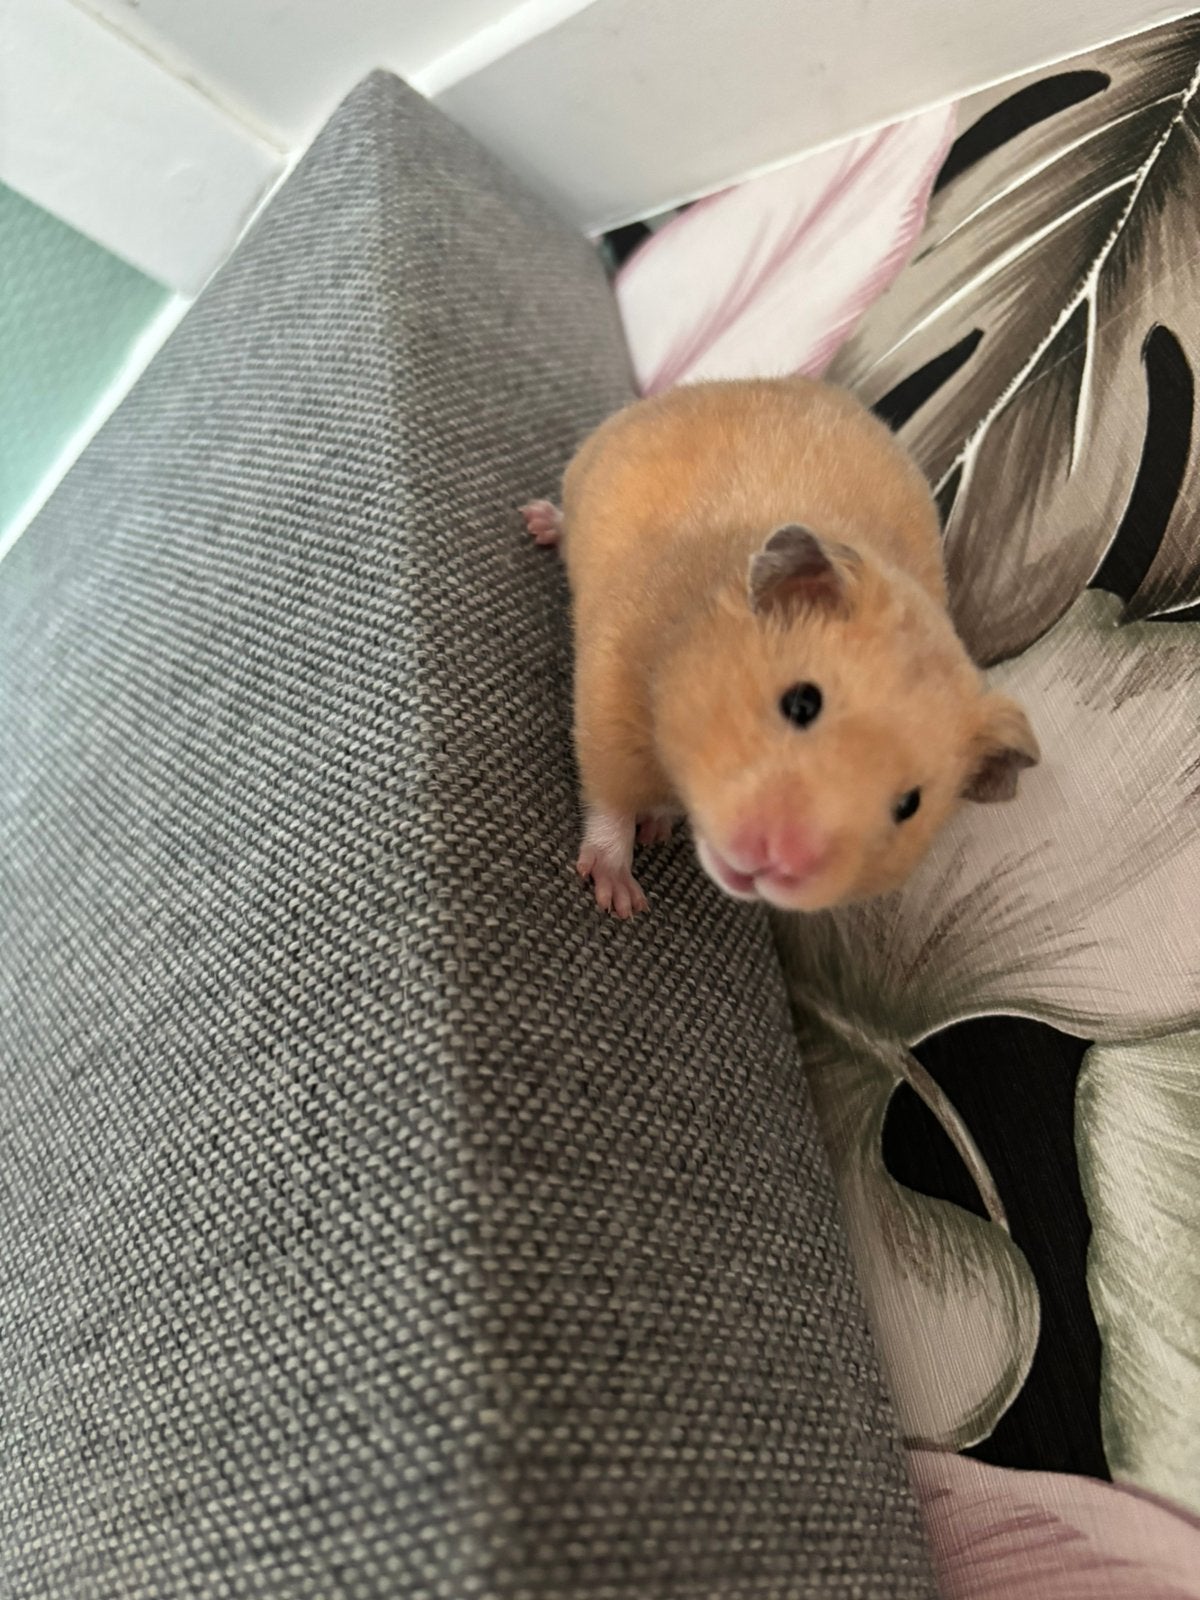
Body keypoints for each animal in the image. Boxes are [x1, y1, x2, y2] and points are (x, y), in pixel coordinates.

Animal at [522, 376, 1039, 919]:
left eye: (910, 805)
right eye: (801, 703)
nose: (782, 863)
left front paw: (657, 828)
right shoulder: (607, 710)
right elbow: (611, 803)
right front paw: (620, 900)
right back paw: (539, 521)